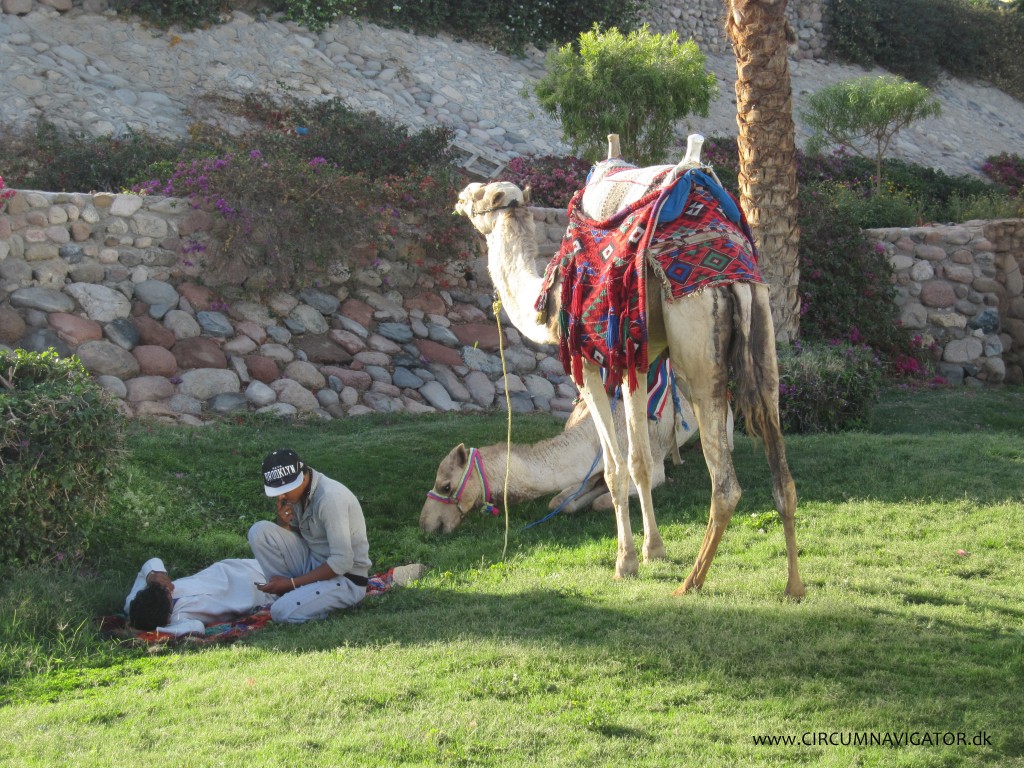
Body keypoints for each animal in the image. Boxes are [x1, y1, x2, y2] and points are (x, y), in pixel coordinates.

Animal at [452, 135, 802, 598]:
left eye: (482, 196)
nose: (460, 196)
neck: (546, 297)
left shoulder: (587, 362)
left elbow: (615, 467)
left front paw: (626, 562)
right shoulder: (637, 360)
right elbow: (640, 461)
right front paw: (654, 550)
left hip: (699, 350)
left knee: (725, 485)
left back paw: (691, 583)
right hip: (763, 334)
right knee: (784, 476)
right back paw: (794, 586)